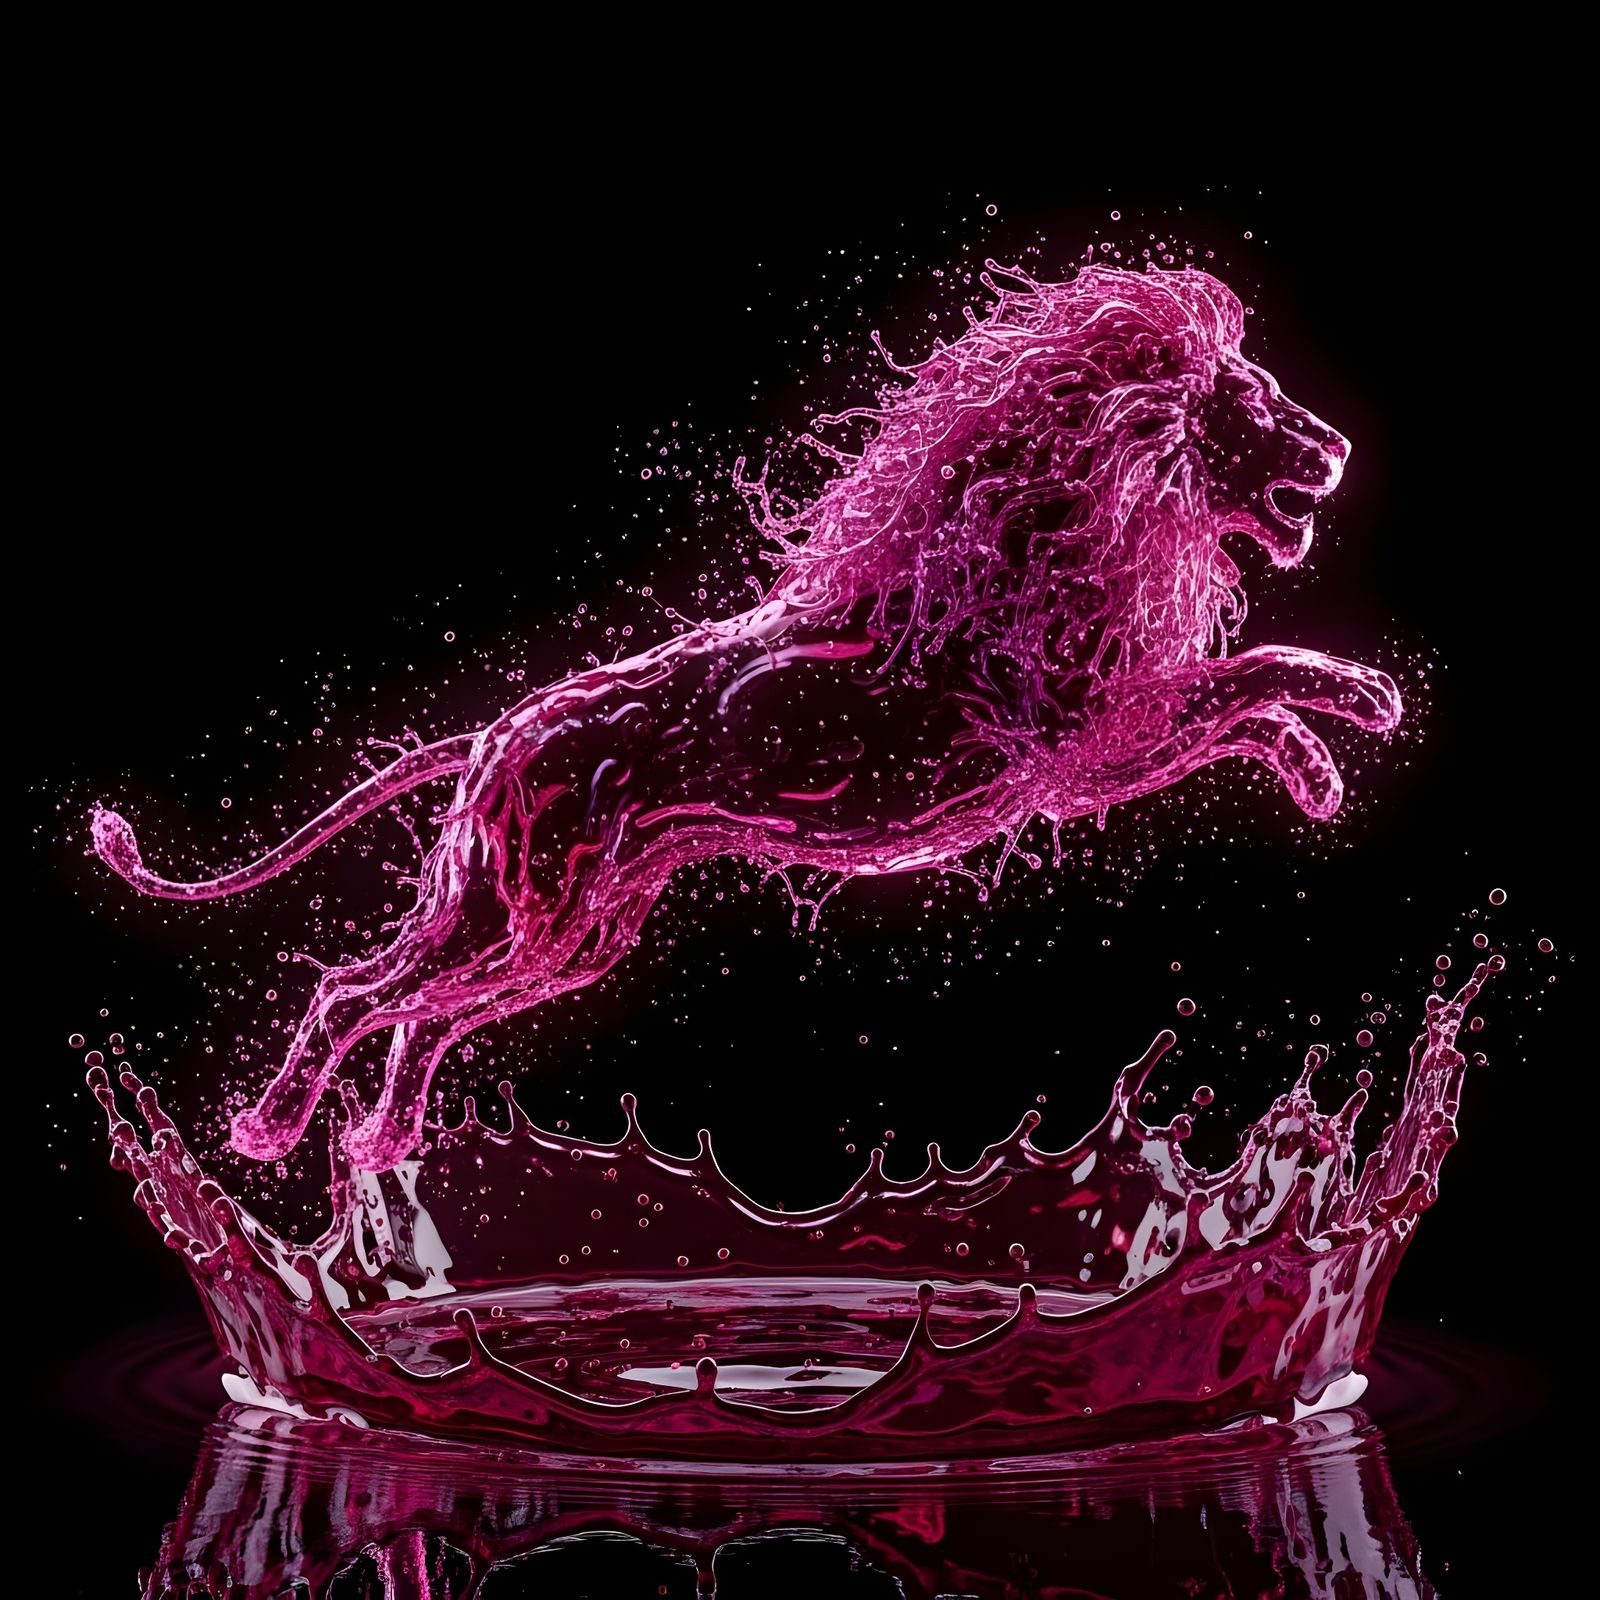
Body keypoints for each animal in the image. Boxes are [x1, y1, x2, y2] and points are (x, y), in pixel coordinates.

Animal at [93, 265, 1400, 1171]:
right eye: (1253, 403)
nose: (1341, 444)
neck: (1044, 525)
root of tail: (493, 735)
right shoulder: (1086, 747)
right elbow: (1248, 678)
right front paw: (1355, 714)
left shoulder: (1098, 750)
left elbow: (1242, 699)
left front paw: (1322, 766)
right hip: (525, 915)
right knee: (360, 996)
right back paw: (284, 1132)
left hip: (565, 930)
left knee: (407, 1010)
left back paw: (357, 1139)